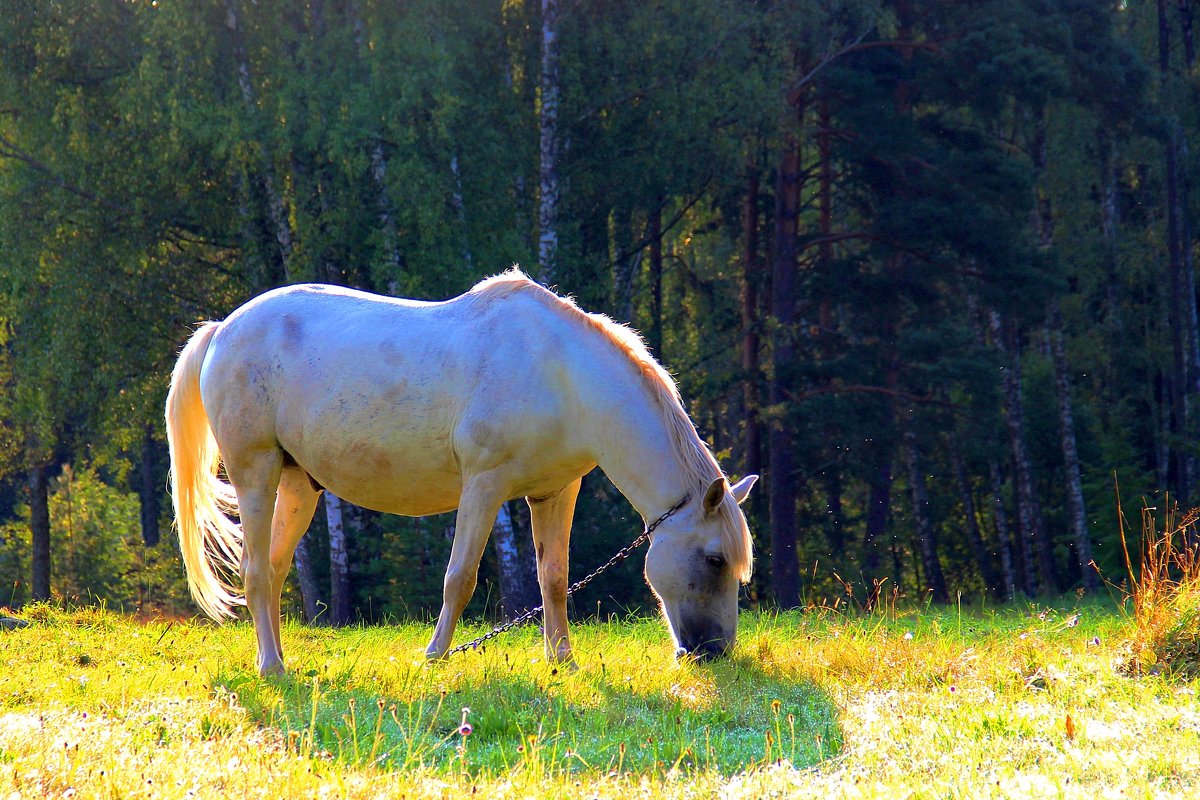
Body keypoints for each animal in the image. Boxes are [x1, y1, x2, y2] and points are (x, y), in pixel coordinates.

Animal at [164, 268, 753, 676]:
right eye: (715, 559)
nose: (714, 652)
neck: (561, 374)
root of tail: (222, 330)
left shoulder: (556, 492)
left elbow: (554, 578)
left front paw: (562, 661)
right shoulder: (484, 487)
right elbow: (459, 577)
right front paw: (434, 656)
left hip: (297, 484)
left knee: (273, 569)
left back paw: (280, 660)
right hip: (256, 473)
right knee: (255, 570)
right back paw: (272, 668)